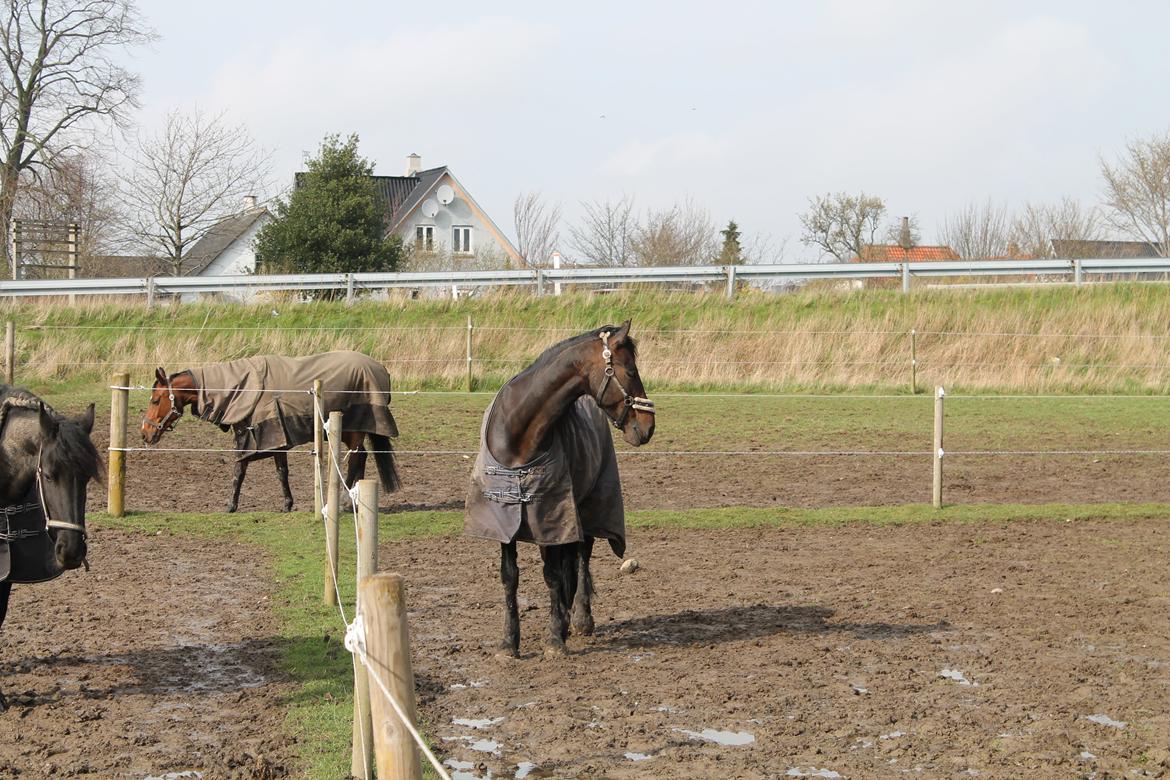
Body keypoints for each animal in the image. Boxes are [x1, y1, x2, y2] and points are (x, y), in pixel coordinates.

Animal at [141, 353, 402, 512]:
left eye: (155, 400)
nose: (145, 433)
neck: (243, 387)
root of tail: (381, 369)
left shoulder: (264, 435)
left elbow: (240, 471)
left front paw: (230, 505)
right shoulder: (271, 440)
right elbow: (280, 472)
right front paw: (287, 503)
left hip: (353, 429)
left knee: (356, 458)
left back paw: (340, 502)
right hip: (350, 431)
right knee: (361, 457)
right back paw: (351, 501)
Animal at [460, 320, 655, 654]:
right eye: (630, 371)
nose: (648, 427)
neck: (517, 434)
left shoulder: (553, 517)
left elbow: (553, 575)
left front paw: (554, 639)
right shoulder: (507, 518)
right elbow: (510, 576)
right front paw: (509, 642)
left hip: (586, 507)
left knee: (581, 554)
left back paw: (579, 619)